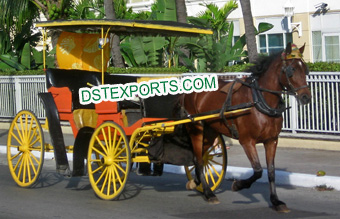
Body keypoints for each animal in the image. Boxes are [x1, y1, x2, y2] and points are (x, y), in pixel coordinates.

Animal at [181, 42, 310, 212]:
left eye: (305, 69)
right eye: (291, 70)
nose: (306, 97)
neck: (260, 100)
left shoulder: (272, 140)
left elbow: (271, 171)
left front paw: (275, 201)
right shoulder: (247, 141)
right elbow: (258, 170)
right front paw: (239, 185)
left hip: (210, 131)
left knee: (201, 157)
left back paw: (196, 183)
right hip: (196, 128)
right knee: (198, 159)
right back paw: (208, 193)